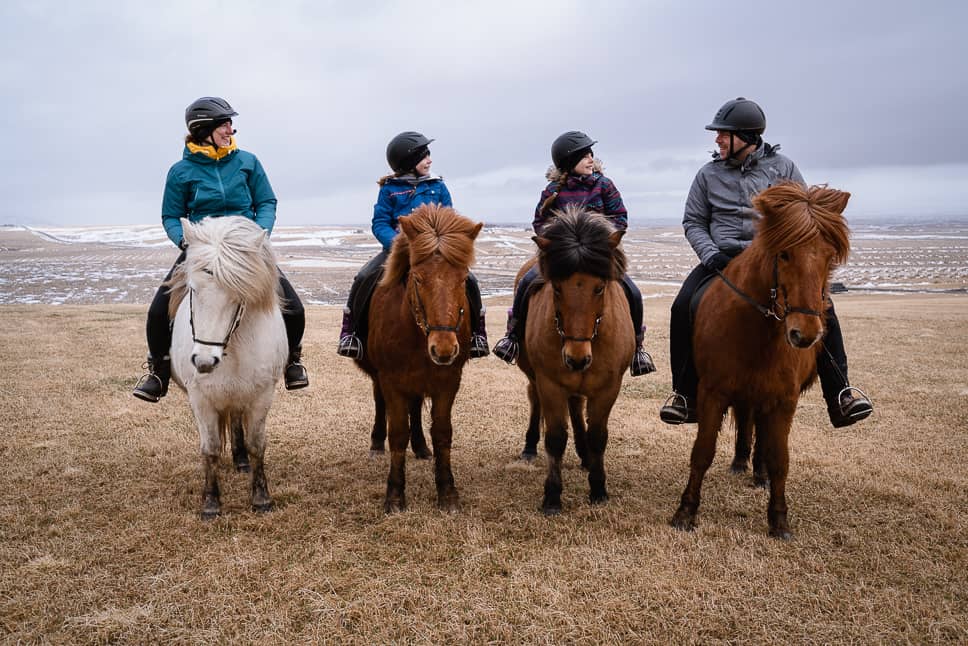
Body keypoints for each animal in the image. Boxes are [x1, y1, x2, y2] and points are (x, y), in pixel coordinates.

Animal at [167, 216, 288, 520]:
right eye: (192, 290)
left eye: (238, 297)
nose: (204, 362)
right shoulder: (200, 398)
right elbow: (209, 447)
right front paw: (211, 502)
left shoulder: (261, 394)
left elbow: (257, 444)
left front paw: (261, 498)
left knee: (235, 419)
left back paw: (240, 460)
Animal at [355, 203, 483, 513]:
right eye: (418, 278)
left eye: (463, 279)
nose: (444, 349)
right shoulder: (391, 379)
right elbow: (398, 432)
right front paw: (395, 495)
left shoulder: (448, 381)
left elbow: (443, 432)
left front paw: (448, 493)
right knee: (380, 403)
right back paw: (376, 443)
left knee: (415, 407)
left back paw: (421, 447)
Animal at [512, 205, 635, 515]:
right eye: (556, 288)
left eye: (599, 287)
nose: (576, 359)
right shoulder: (550, 383)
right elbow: (555, 438)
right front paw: (552, 497)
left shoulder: (608, 387)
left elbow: (598, 436)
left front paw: (598, 489)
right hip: (534, 375)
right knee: (536, 401)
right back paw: (530, 447)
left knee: (577, 407)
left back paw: (584, 454)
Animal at [670, 182, 851, 539]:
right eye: (784, 254)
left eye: (828, 257)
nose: (805, 334)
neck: (757, 331)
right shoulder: (713, 392)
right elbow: (702, 452)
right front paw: (685, 512)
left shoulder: (784, 400)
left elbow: (780, 458)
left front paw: (779, 520)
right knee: (747, 422)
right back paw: (742, 463)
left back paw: (758, 473)